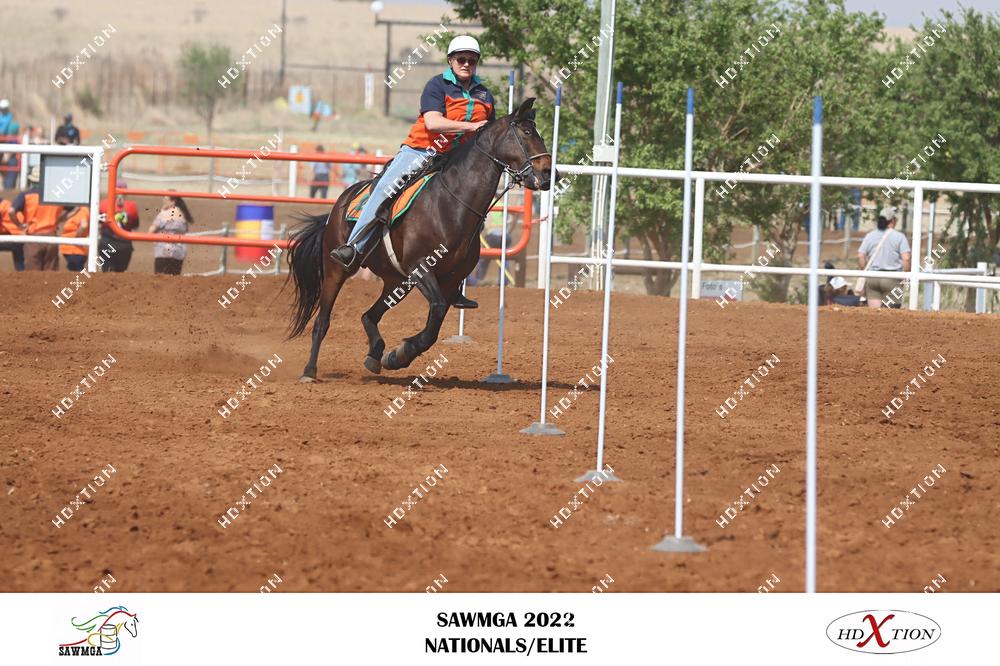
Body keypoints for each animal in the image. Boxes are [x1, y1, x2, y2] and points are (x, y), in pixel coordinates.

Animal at [286, 97, 554, 382]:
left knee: (369, 315)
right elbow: (435, 310)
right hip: (337, 269)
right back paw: (309, 371)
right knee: (322, 321)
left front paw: (396, 356)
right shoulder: (421, 268)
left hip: (397, 282)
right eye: (526, 132)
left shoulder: (450, 281)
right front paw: (401, 352)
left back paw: (375, 355)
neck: (449, 204)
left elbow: (435, 323)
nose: (550, 173)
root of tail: (341, 202)